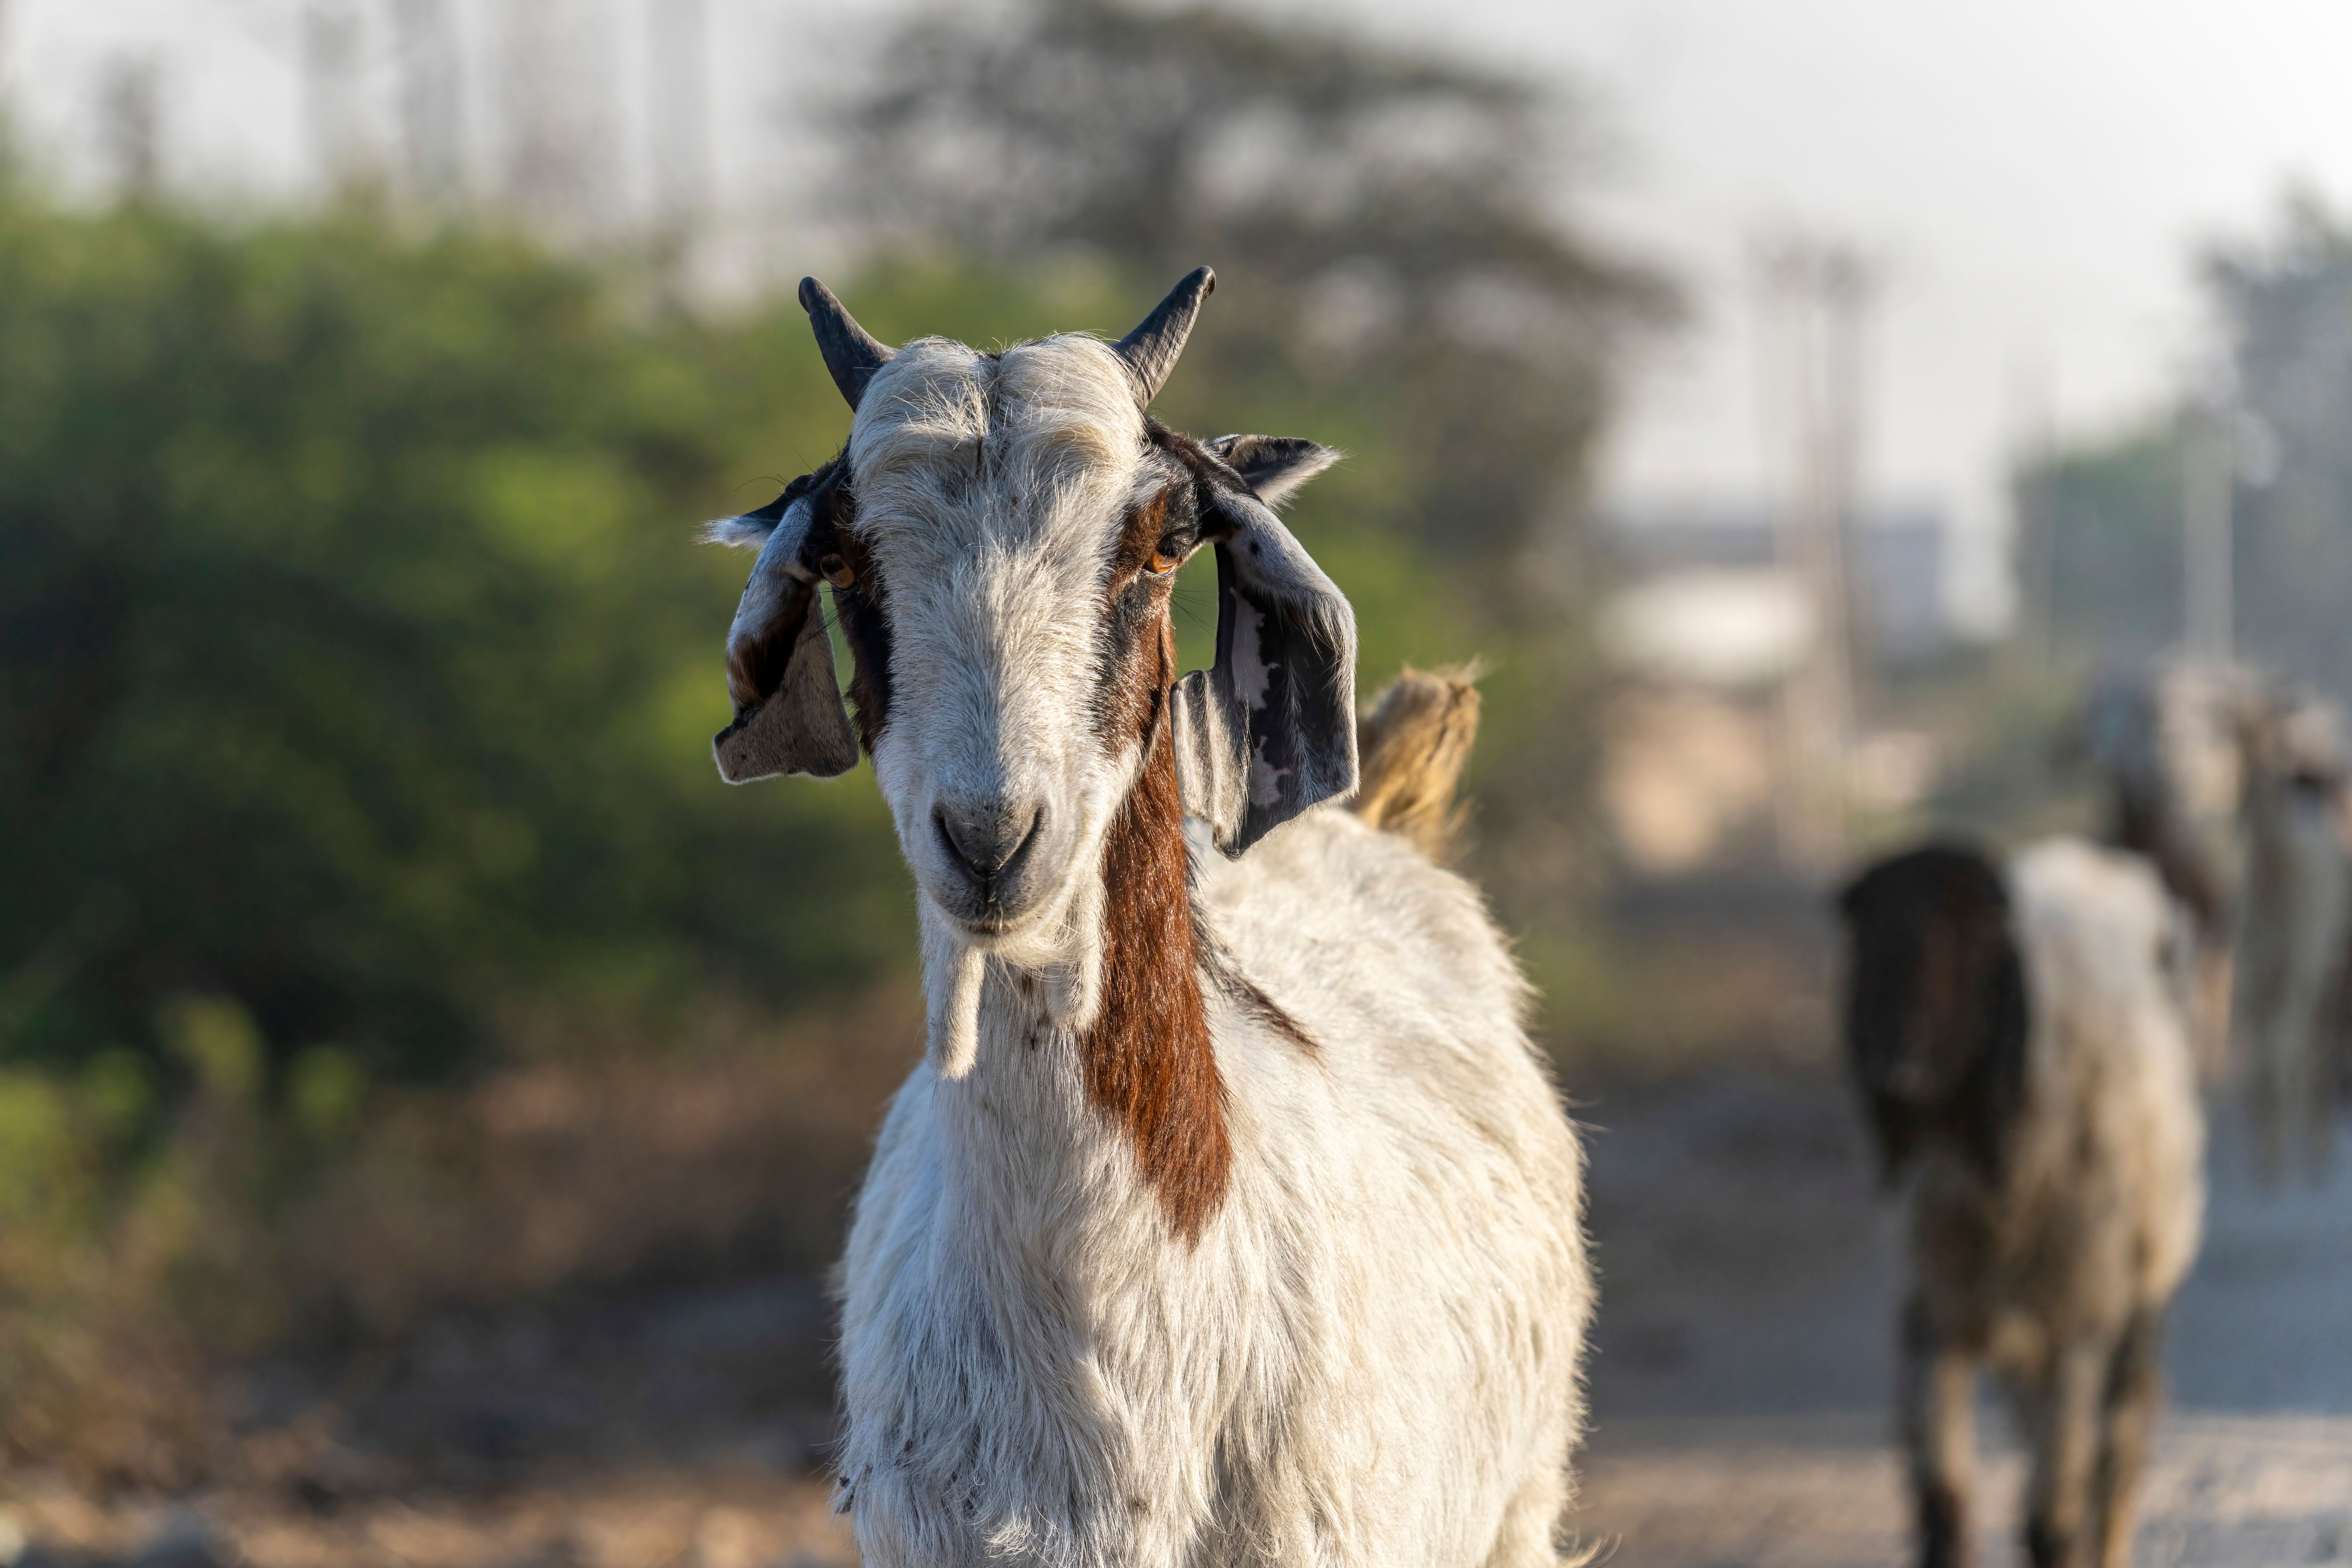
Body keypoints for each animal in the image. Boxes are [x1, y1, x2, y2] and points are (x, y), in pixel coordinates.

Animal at [1839, 839, 2204, 1568]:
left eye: (1980, 939)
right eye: (1867, 937)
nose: (1899, 1075)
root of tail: (2094, 861)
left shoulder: (2080, 1326)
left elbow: (2050, 1524)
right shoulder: (1935, 1319)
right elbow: (1943, 1507)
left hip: (2135, 1297)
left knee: (2117, 1451)